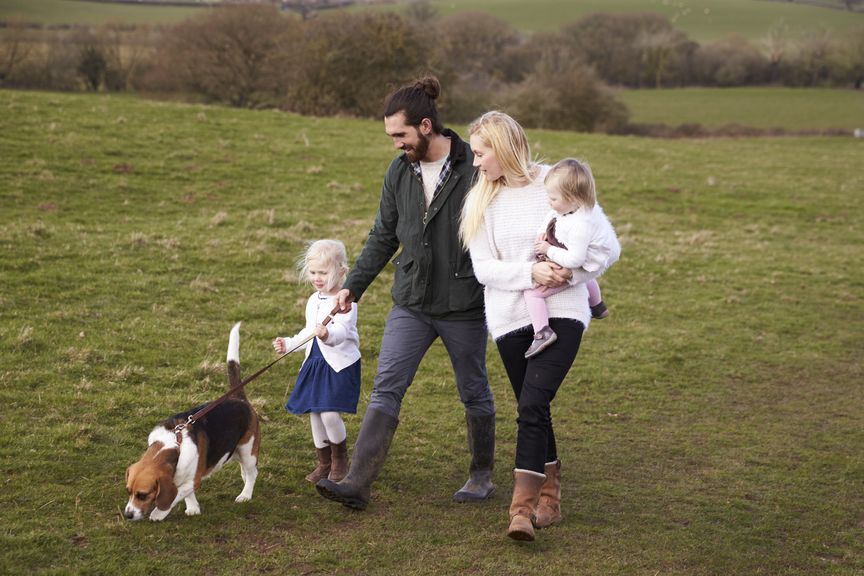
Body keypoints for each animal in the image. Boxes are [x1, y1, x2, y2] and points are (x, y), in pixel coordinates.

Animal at [125, 324, 260, 520]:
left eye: (143, 495)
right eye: (128, 491)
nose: (127, 515)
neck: (175, 444)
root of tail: (238, 398)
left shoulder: (193, 480)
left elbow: (177, 494)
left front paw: (159, 513)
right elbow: (185, 494)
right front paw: (193, 507)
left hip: (248, 450)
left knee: (252, 473)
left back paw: (245, 495)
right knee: (246, 471)